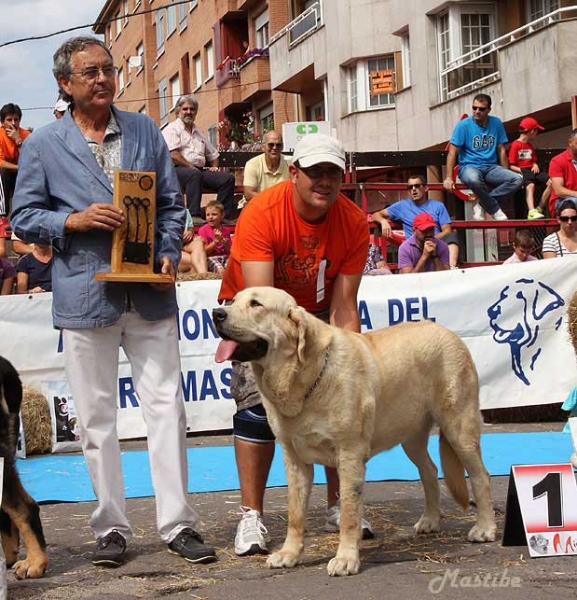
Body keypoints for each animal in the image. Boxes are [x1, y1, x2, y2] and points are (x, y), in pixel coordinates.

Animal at [212, 288, 496, 576]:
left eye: (256, 304)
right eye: (232, 301)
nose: (217, 313)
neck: (304, 377)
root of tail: (448, 332)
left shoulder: (349, 455)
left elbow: (349, 512)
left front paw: (346, 558)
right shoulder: (295, 460)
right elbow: (295, 514)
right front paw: (289, 554)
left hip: (459, 427)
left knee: (480, 475)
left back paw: (484, 528)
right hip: (411, 436)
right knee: (430, 470)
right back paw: (429, 520)